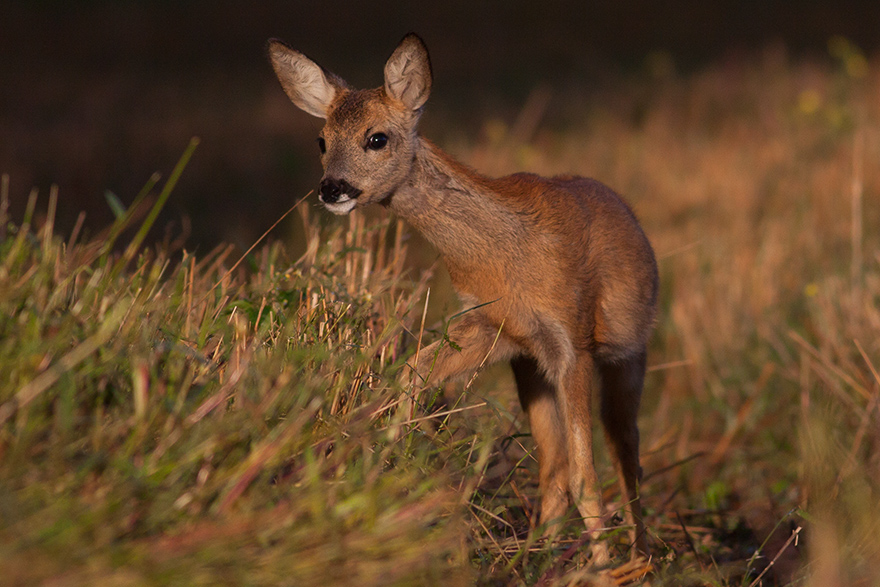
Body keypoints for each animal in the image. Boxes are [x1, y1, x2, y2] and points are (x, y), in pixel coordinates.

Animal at [272, 34, 656, 564]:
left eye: (377, 138)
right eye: (322, 141)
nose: (332, 189)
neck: (505, 258)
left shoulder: (572, 340)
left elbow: (588, 476)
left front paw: (604, 568)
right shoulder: (490, 328)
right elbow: (405, 378)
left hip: (628, 353)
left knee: (625, 451)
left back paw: (638, 557)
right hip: (527, 367)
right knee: (553, 465)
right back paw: (540, 555)